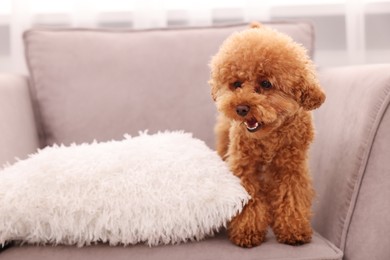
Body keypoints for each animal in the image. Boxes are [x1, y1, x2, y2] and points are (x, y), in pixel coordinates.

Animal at [209, 23, 324, 248]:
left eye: (266, 84)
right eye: (236, 84)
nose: (241, 108)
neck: (270, 135)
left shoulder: (291, 167)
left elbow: (291, 196)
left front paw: (293, 229)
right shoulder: (245, 165)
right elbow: (248, 197)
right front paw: (247, 231)